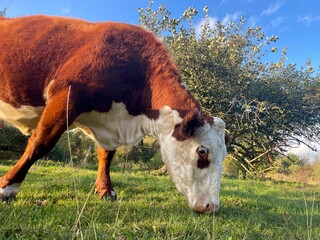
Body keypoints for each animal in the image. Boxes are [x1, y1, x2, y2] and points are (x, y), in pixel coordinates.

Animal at [0, 15, 230, 213]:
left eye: (224, 155)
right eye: (202, 151)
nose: (212, 206)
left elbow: (106, 154)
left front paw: (105, 190)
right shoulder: (67, 92)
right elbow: (41, 142)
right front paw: (7, 186)